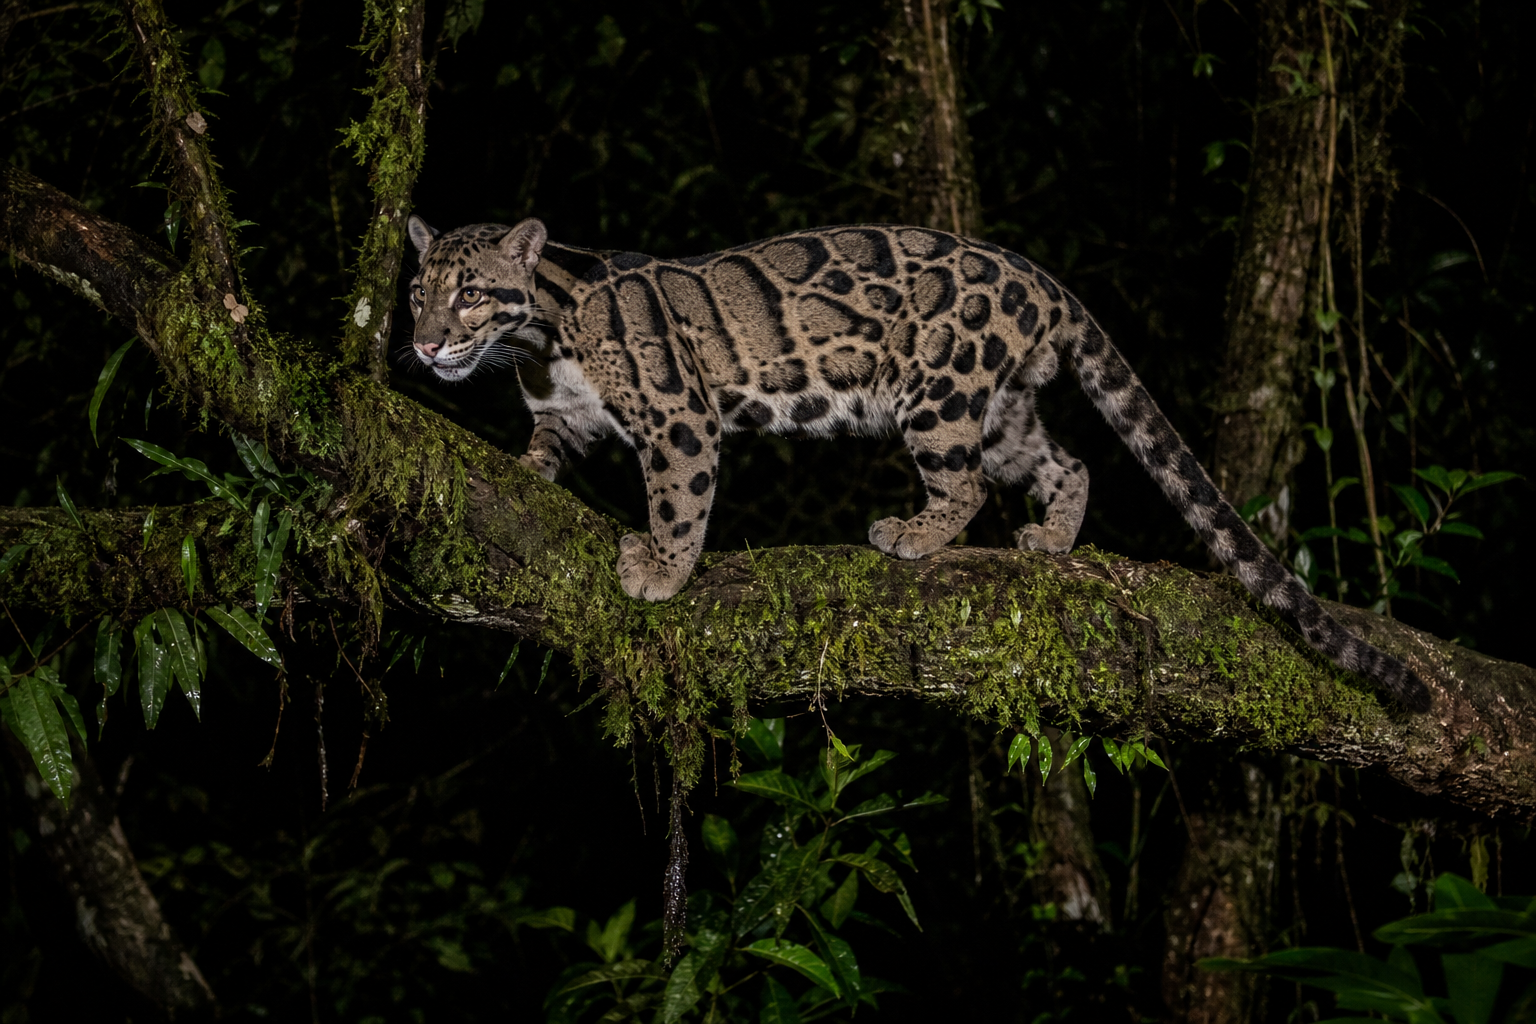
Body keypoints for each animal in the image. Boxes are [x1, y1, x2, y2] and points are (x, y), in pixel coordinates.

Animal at [404, 215, 1430, 711]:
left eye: (470, 294)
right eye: (416, 294)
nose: (422, 344)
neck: (540, 341)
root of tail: (1039, 275)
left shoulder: (679, 415)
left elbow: (680, 499)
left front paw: (660, 568)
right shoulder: (567, 415)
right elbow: (548, 445)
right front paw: (527, 472)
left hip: (937, 386)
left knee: (966, 479)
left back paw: (916, 532)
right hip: (1001, 405)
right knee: (1068, 465)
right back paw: (1052, 540)